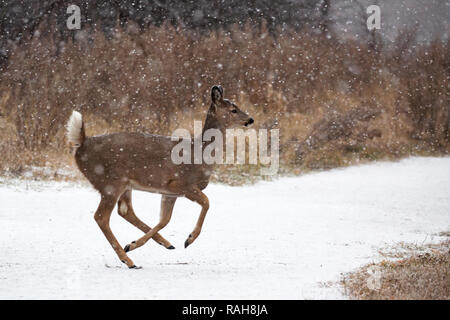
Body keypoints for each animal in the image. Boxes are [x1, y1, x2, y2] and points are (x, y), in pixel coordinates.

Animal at [68, 85, 255, 268]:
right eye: (233, 110)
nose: (250, 119)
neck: (201, 155)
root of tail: (82, 144)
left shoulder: (169, 193)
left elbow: (165, 219)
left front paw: (134, 244)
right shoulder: (181, 183)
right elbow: (207, 202)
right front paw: (189, 239)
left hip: (124, 185)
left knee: (125, 211)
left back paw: (158, 245)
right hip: (110, 182)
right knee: (101, 217)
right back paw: (128, 260)